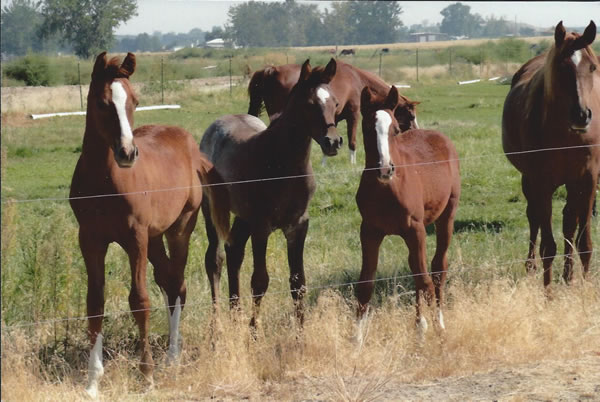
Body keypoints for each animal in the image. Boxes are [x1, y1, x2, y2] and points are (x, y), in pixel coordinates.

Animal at [68, 51, 211, 398]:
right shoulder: (90, 240)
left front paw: (146, 375)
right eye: (102, 102)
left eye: (135, 101)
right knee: (170, 282)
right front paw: (92, 382)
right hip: (155, 237)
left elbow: (140, 301)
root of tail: (189, 143)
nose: (127, 153)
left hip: (179, 229)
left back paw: (172, 357)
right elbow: (95, 303)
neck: (105, 181)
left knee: (178, 284)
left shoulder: (135, 238)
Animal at [200, 57, 342, 326]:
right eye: (310, 104)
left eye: (336, 103)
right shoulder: (261, 227)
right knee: (215, 259)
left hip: (243, 216)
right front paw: (254, 331)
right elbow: (260, 282)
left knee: (234, 251)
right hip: (211, 210)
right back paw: (217, 323)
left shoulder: (298, 225)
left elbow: (298, 283)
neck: (281, 163)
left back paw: (235, 313)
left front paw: (300, 332)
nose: (333, 142)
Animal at [246, 57, 420, 163]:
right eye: (411, 116)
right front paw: (352, 164)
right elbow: (352, 142)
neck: (356, 79)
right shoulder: (353, 115)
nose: (416, 132)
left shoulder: (331, 120)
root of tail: (271, 70)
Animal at [354, 86, 462, 340]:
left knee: (437, 268)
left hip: (446, 216)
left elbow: (425, 281)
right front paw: (356, 340)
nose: (385, 169)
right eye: (367, 128)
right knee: (415, 268)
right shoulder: (369, 231)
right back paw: (419, 325)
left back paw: (436, 322)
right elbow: (365, 284)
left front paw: (439, 333)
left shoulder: (416, 229)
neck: (387, 189)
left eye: (394, 130)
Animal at [502, 21, 600, 286]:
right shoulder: (541, 181)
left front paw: (583, 286)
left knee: (568, 222)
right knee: (534, 217)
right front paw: (548, 292)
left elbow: (583, 242)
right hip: (529, 180)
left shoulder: (587, 179)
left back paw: (568, 275)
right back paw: (531, 266)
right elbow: (547, 245)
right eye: (562, 66)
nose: (582, 115)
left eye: (592, 66)